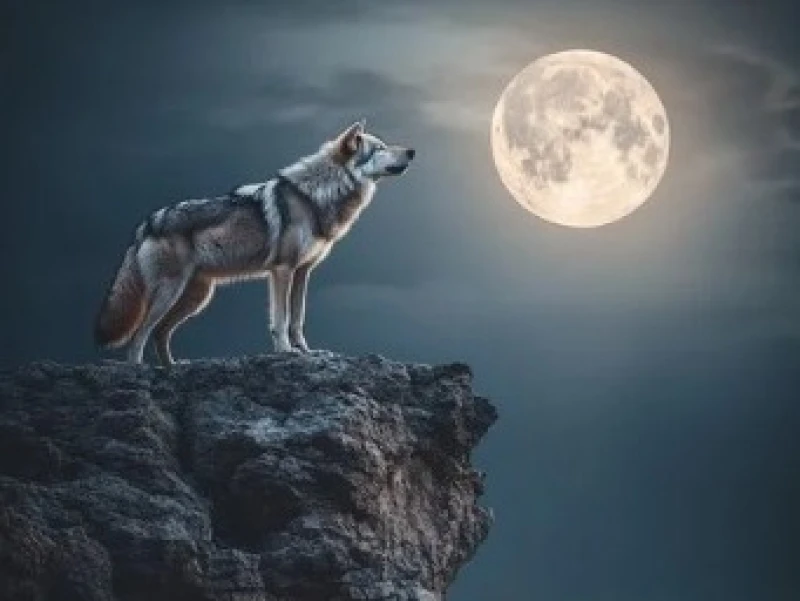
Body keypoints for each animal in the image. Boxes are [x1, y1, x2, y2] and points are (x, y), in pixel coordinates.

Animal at [94, 120, 414, 365]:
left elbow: (298, 318)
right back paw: (139, 370)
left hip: (196, 297)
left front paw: (307, 352)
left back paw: (172, 368)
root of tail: (148, 223)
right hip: (169, 293)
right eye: (380, 148)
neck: (315, 195)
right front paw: (286, 353)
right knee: (139, 336)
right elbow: (281, 320)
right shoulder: (282, 270)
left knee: (160, 333)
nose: (412, 151)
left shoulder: (303, 272)